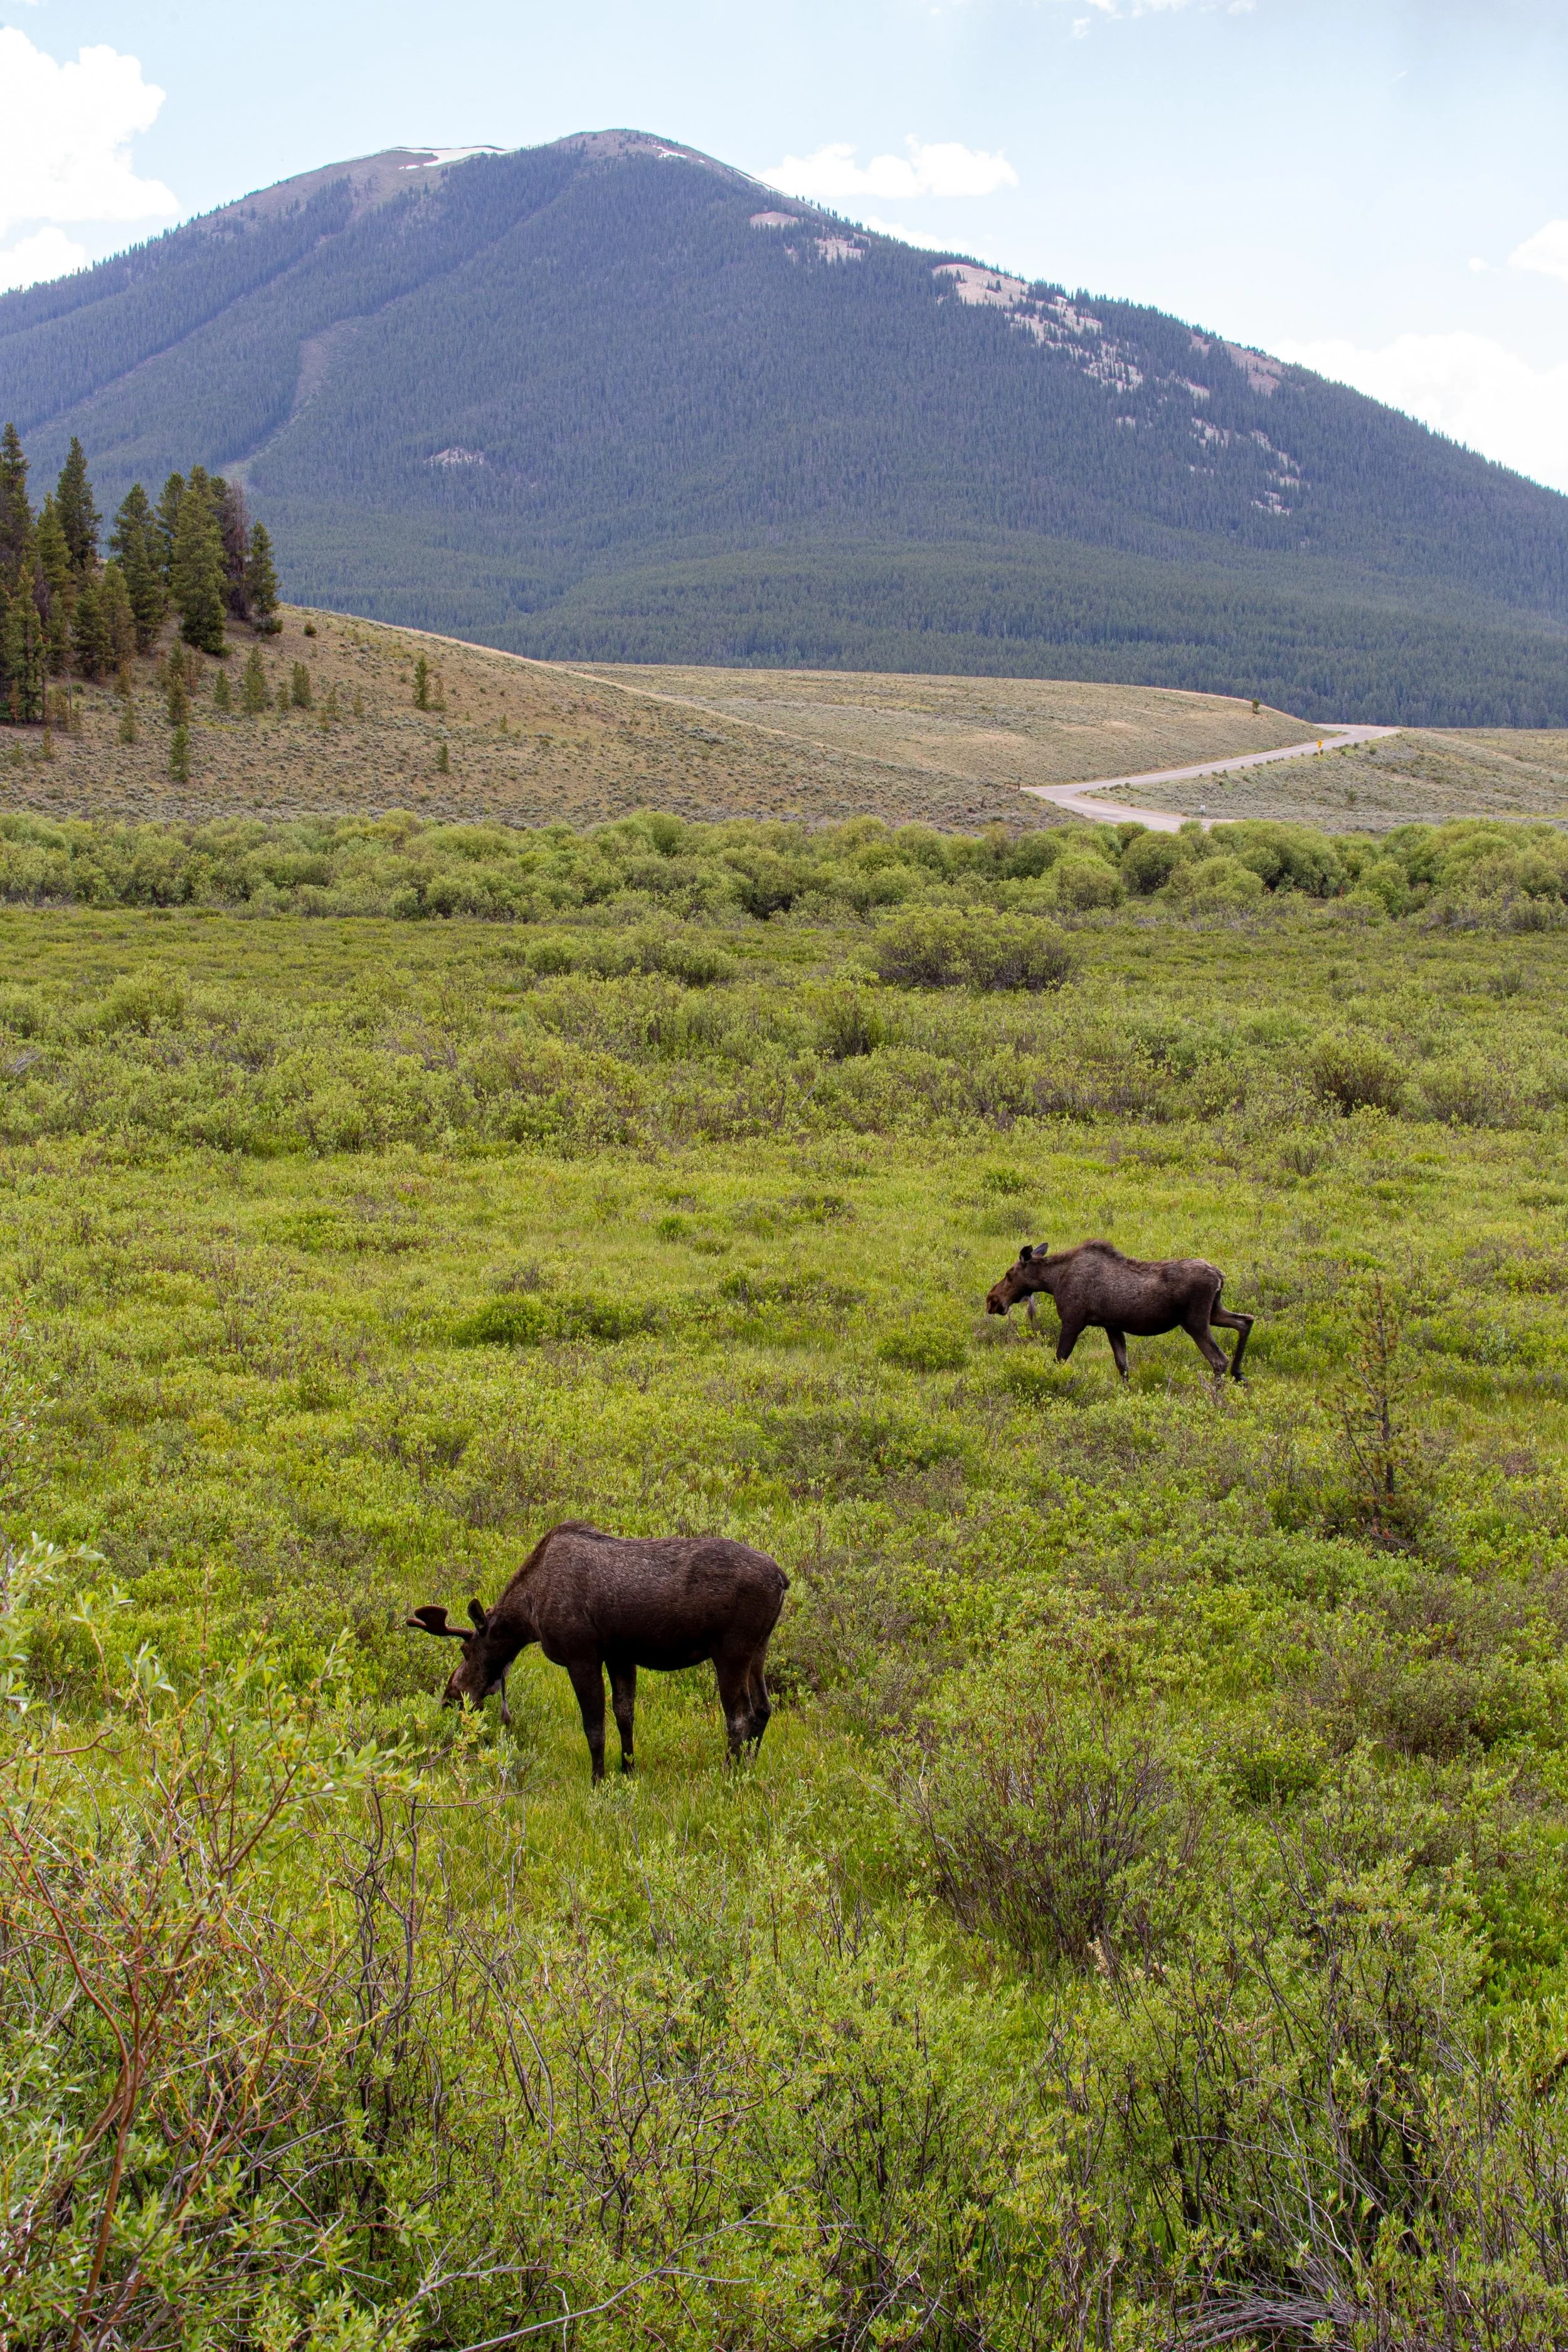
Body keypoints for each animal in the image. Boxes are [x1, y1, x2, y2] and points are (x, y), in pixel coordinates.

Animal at [408, 1519, 787, 1782]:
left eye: (465, 1650)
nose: (450, 1696)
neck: (530, 1616)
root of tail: (783, 1579)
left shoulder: (581, 1656)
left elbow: (594, 1728)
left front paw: (598, 1780)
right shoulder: (620, 1655)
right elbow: (624, 1716)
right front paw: (628, 1770)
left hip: (732, 1650)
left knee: (739, 1716)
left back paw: (729, 1776)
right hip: (760, 1647)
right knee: (764, 1708)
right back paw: (749, 1768)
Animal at [986, 1240, 1254, 1380]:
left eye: (1009, 1274)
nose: (991, 1299)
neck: (1052, 1282)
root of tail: (1220, 1276)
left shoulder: (1073, 1321)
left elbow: (1059, 1359)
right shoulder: (1112, 1326)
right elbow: (1123, 1366)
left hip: (1195, 1321)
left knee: (1219, 1359)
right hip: (1214, 1312)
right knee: (1246, 1320)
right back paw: (1239, 1374)